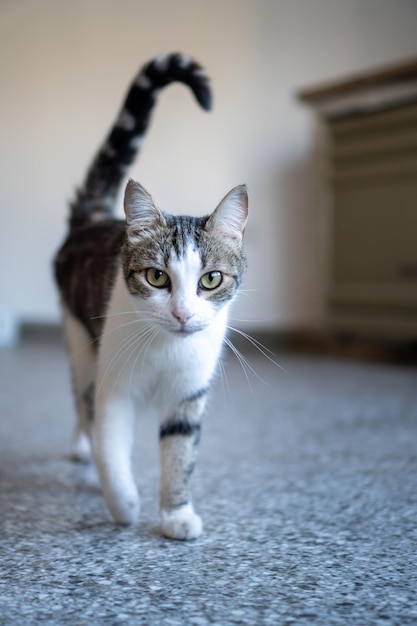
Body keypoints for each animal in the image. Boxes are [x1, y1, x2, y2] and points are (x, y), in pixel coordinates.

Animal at [52, 52, 247, 536]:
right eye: (157, 277)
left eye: (210, 280)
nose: (182, 313)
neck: (165, 350)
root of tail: (93, 218)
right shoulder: (115, 388)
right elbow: (112, 446)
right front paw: (123, 506)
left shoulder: (189, 392)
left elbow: (180, 452)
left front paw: (176, 515)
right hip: (79, 337)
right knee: (81, 398)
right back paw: (84, 450)